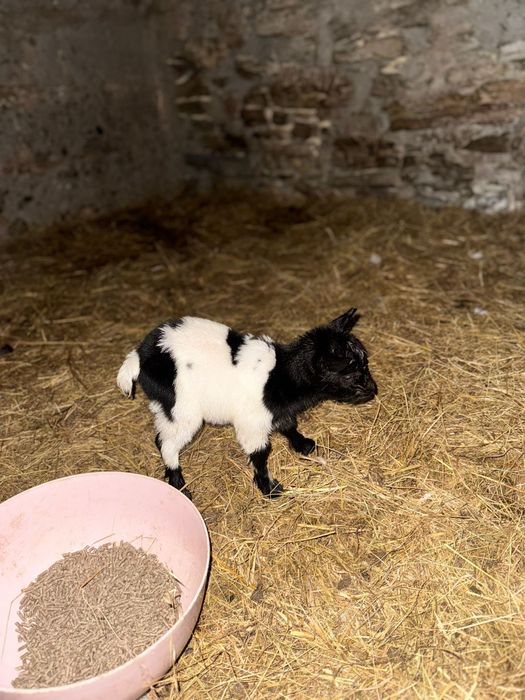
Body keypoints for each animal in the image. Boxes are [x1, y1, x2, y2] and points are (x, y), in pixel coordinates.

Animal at [117, 309, 377, 498]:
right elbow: (260, 453)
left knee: (159, 437)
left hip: (168, 405)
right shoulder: (252, 421)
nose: (373, 390)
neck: (279, 375)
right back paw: (180, 486)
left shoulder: (273, 411)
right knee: (168, 444)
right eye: (350, 372)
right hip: (183, 408)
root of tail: (140, 356)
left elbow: (287, 424)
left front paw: (303, 444)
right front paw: (269, 488)